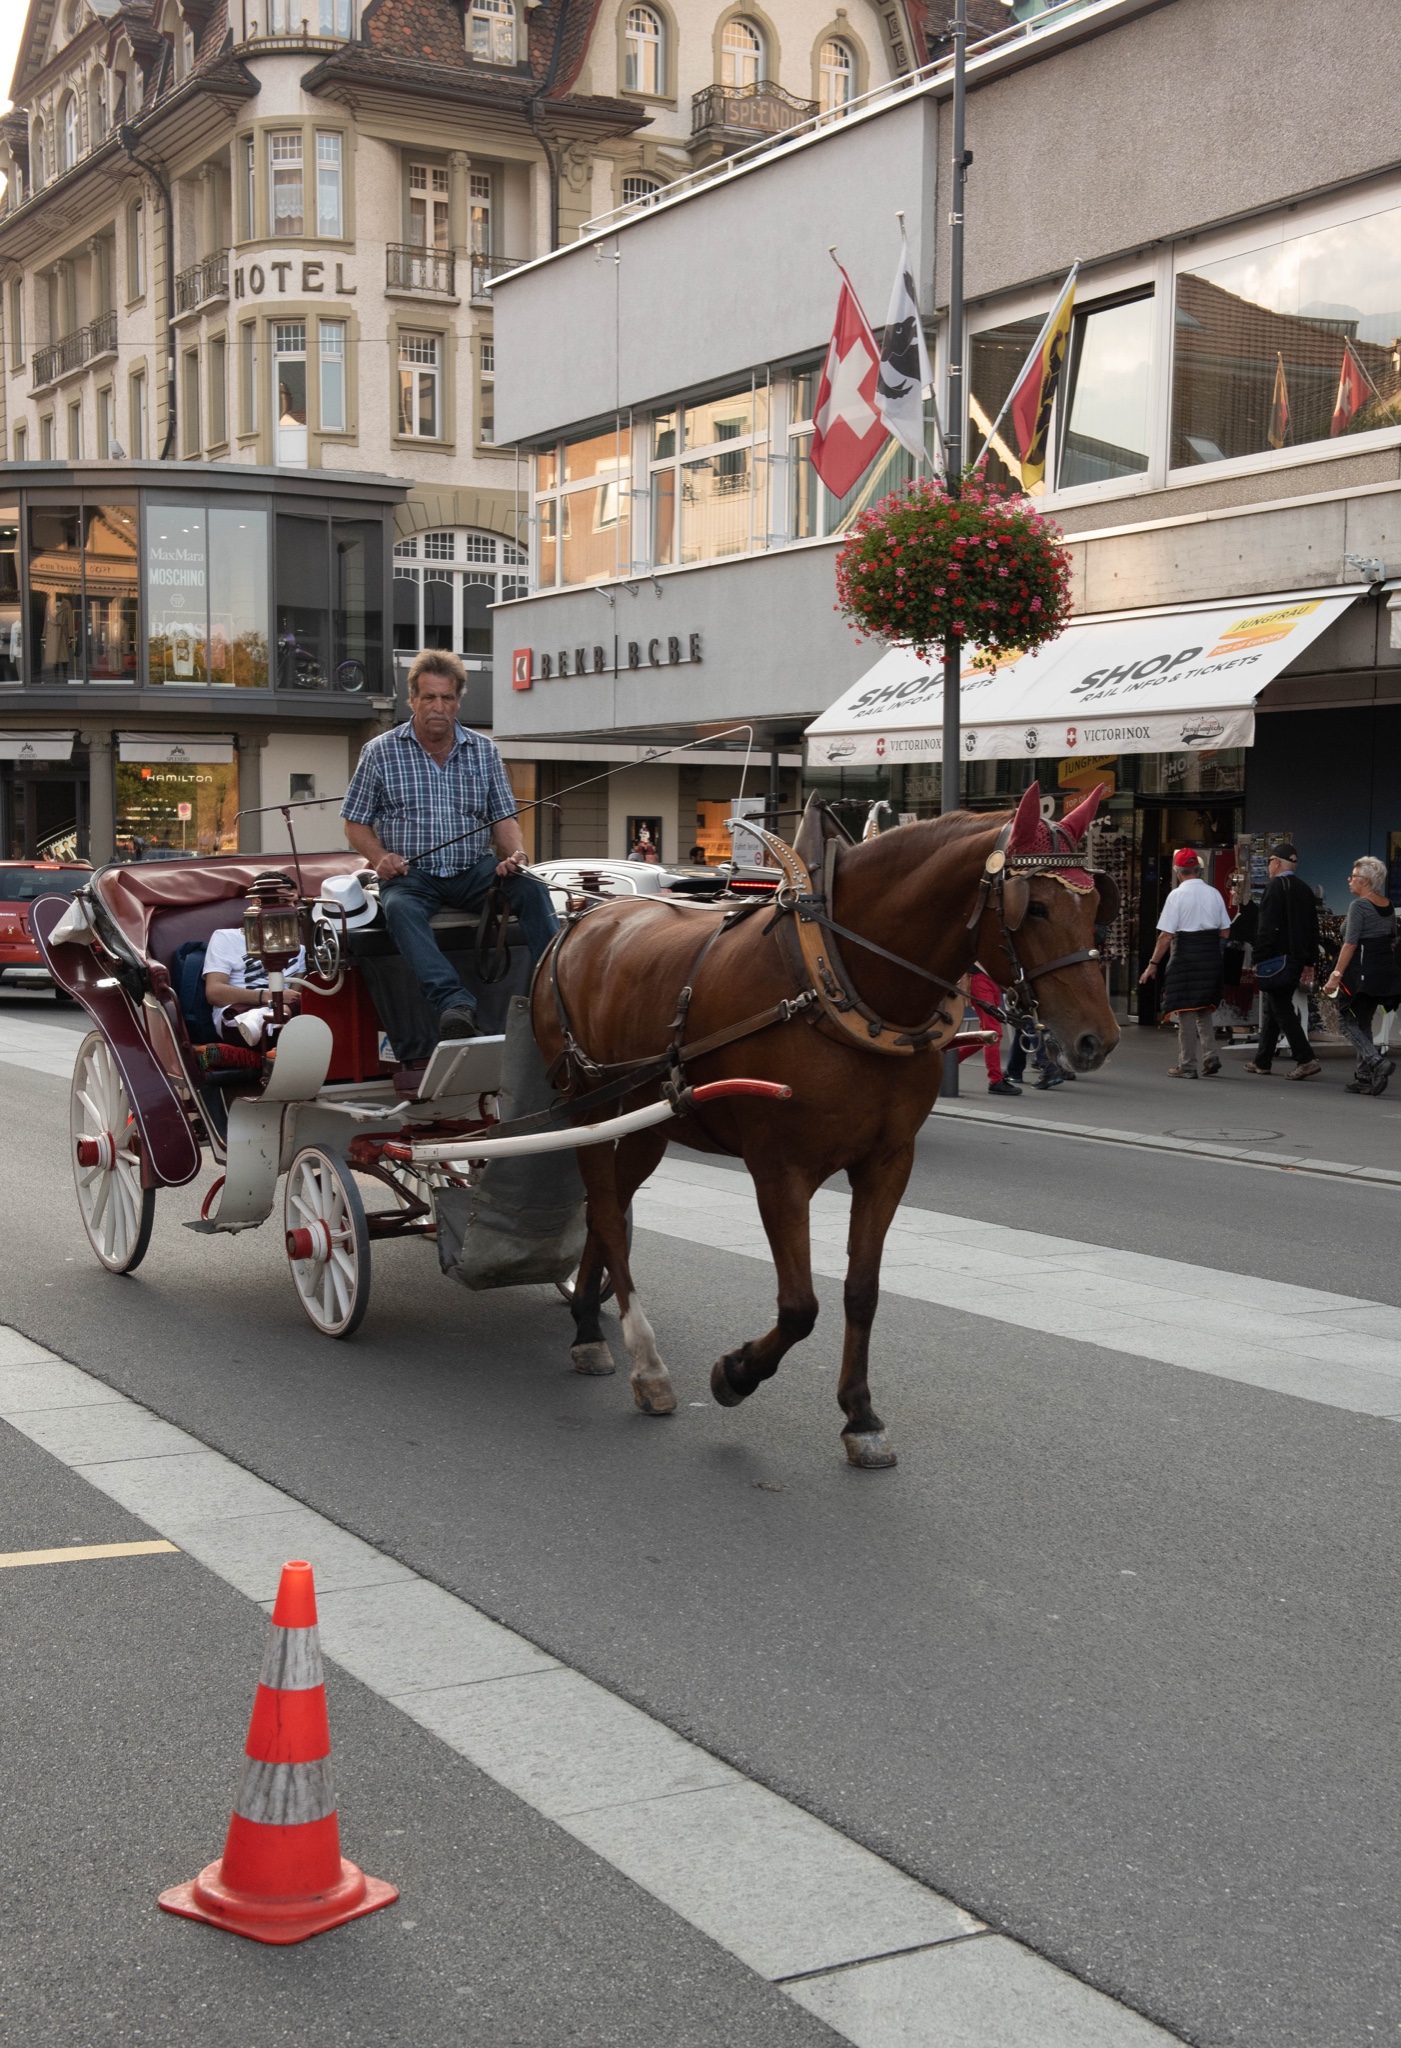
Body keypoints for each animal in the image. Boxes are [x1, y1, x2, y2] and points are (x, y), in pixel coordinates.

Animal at [532, 774, 1122, 1466]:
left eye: (1097, 904)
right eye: (1035, 908)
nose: (1097, 1039)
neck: (839, 980)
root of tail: (583, 917)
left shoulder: (888, 1162)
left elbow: (861, 1291)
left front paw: (860, 1415)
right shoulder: (779, 1170)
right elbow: (799, 1306)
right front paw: (736, 1374)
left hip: (648, 1121)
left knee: (611, 1210)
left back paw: (587, 1327)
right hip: (588, 1103)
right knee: (603, 1207)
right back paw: (645, 1364)